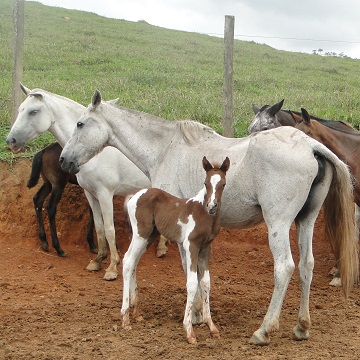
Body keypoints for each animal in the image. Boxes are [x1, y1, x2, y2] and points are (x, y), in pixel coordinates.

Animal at [5, 85, 168, 282]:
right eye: (20, 109)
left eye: (33, 111)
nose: (11, 140)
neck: (92, 152)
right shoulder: (90, 193)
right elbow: (98, 226)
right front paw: (98, 260)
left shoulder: (105, 194)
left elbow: (109, 228)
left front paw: (112, 267)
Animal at [119, 156, 229, 344]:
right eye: (205, 183)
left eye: (222, 184)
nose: (212, 205)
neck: (204, 214)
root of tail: (135, 196)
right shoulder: (191, 245)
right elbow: (192, 283)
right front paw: (189, 331)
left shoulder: (205, 248)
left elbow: (206, 282)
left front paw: (211, 326)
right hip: (141, 234)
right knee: (127, 262)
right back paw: (125, 319)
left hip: (149, 236)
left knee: (132, 262)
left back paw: (137, 313)